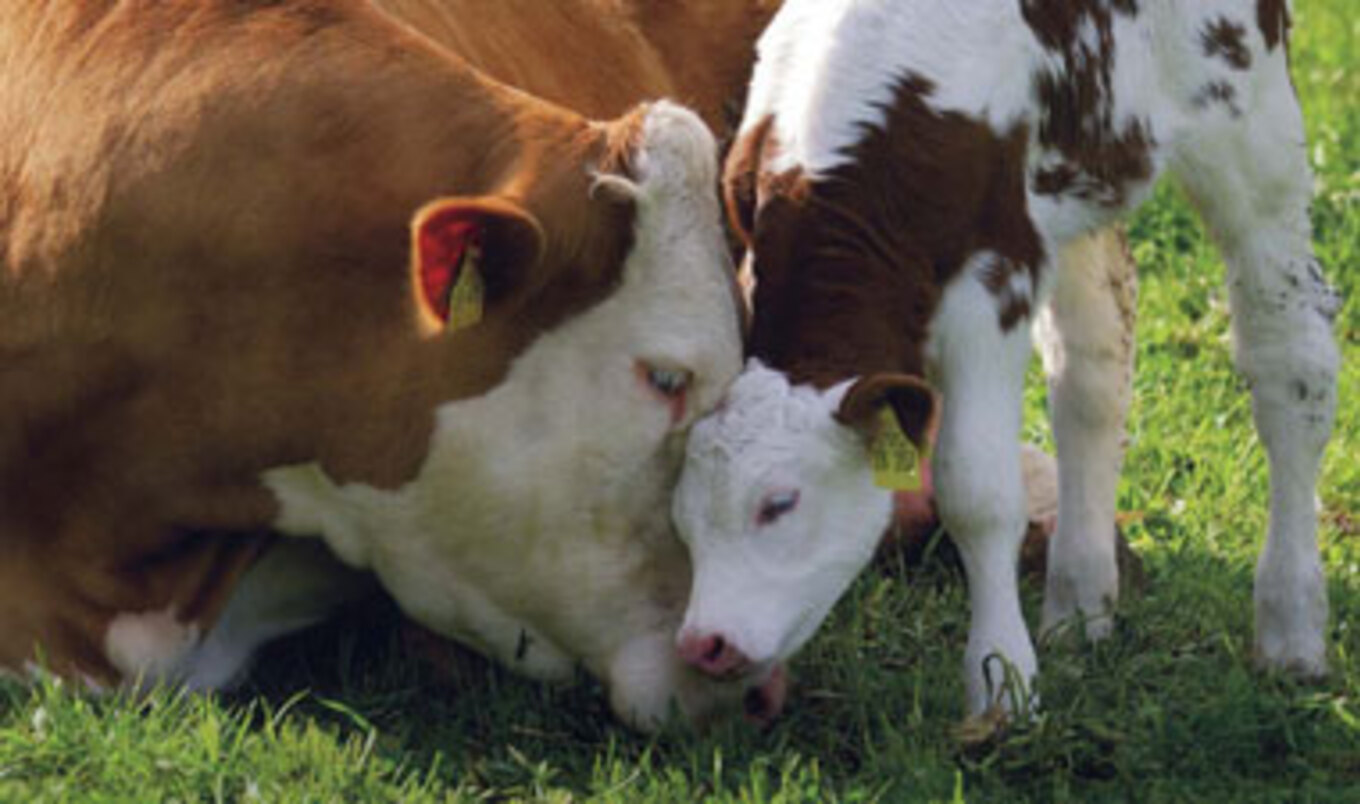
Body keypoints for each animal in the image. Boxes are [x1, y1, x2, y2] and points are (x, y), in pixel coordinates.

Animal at [669, 0, 1340, 720]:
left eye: (779, 503)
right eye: (680, 518)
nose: (704, 644)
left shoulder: (993, 284)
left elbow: (976, 492)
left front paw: (1002, 684)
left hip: (1250, 120)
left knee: (1292, 355)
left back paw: (1292, 629)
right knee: (1092, 369)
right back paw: (1079, 606)